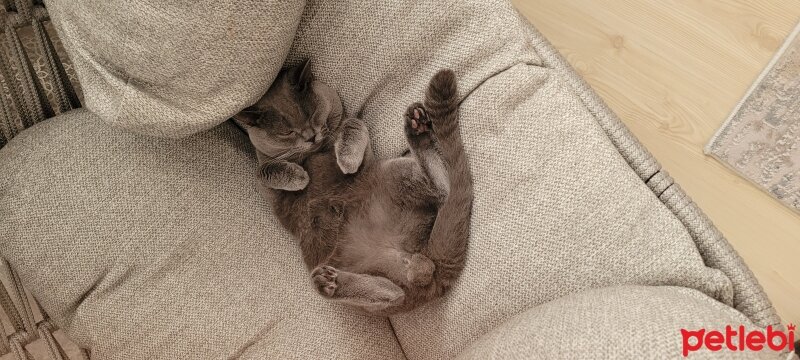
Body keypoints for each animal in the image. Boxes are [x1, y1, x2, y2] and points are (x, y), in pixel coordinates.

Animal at [234, 59, 472, 316]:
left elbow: (352, 122)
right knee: (394, 292)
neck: (314, 153)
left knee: (442, 191)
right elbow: (262, 171)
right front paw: (299, 177)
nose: (310, 136)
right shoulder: (267, 187)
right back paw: (331, 283)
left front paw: (346, 160)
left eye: (314, 114)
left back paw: (416, 126)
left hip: (390, 172)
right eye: (287, 132)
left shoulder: (357, 140)